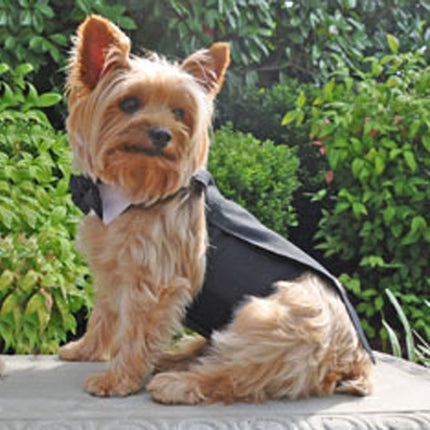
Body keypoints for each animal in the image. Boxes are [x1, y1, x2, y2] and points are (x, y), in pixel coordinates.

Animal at [58, 14, 372, 404]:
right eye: (129, 103)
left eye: (180, 112)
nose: (163, 134)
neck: (134, 191)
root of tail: (352, 359)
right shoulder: (112, 269)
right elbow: (104, 314)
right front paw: (85, 349)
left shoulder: (154, 283)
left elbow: (134, 334)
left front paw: (117, 381)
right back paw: (174, 357)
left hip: (269, 321)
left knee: (236, 373)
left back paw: (176, 383)